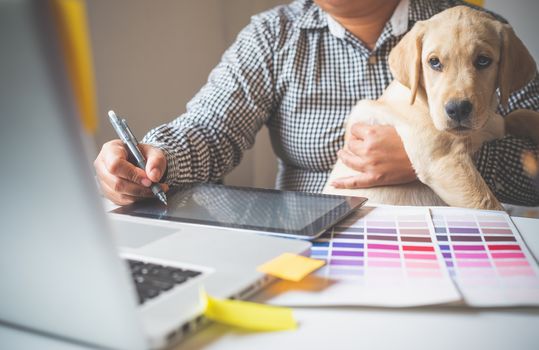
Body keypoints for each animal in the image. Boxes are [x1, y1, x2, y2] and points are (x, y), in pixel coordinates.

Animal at [322, 6, 536, 211]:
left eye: (483, 60)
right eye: (434, 62)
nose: (458, 109)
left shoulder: (491, 121)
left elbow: (518, 114)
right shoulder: (444, 160)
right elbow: (489, 205)